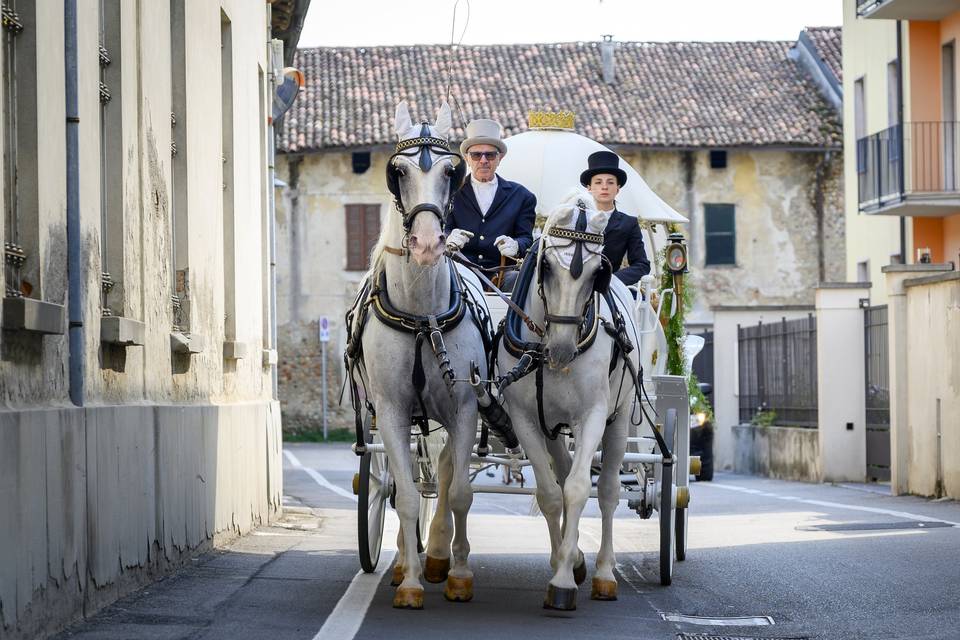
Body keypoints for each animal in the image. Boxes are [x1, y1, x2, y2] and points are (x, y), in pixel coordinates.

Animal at [348, 101, 488, 608]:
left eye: (451, 171)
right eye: (398, 171)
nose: (428, 245)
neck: (422, 318)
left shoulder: (465, 408)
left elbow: (460, 491)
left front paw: (458, 574)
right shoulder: (391, 411)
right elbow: (406, 494)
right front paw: (408, 581)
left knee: (442, 477)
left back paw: (438, 553)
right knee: (408, 479)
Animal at [492, 191, 640, 608]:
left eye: (596, 273)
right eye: (546, 267)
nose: (561, 349)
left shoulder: (592, 416)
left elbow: (577, 489)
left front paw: (562, 582)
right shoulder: (526, 419)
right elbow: (550, 494)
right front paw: (564, 564)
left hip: (618, 418)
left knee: (607, 490)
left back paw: (605, 573)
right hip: (553, 427)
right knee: (563, 469)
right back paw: (571, 556)